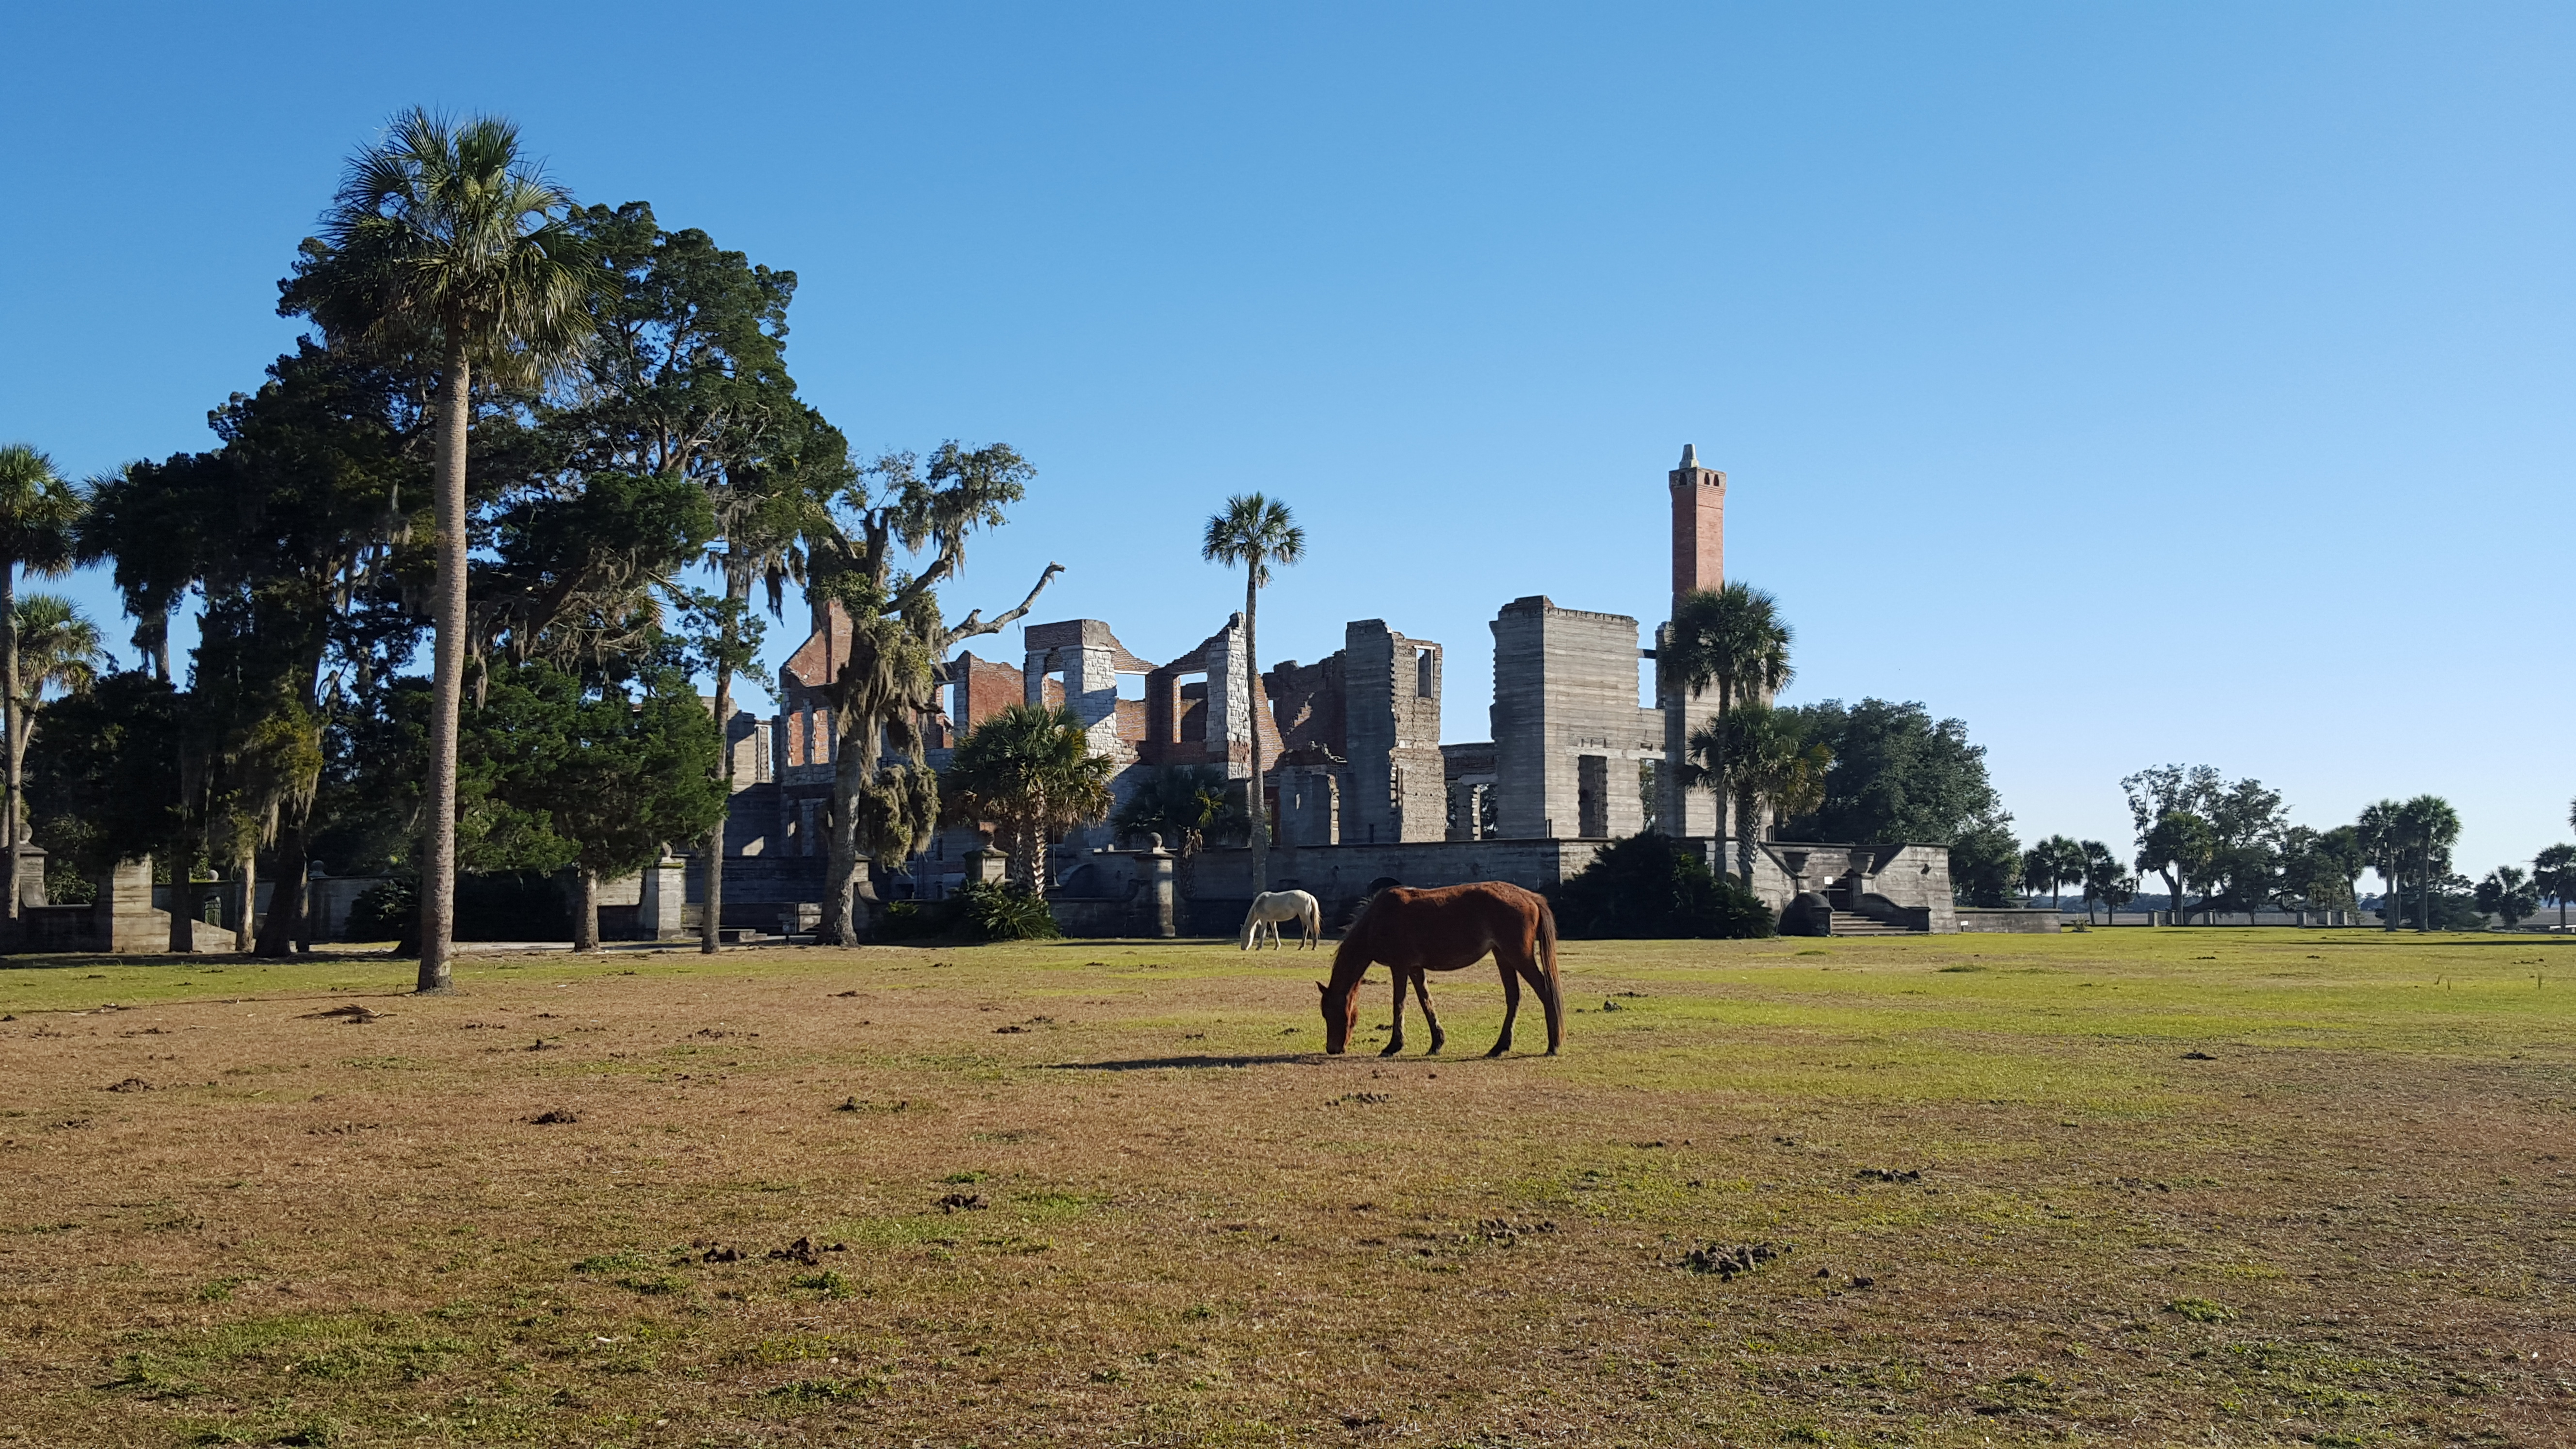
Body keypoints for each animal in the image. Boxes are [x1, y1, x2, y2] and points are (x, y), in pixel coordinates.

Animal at [1241, 882, 1319, 949]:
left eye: (1244, 936)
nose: (1243, 948)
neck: (1260, 903)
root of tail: (1309, 896)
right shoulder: (1272, 920)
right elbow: (1275, 932)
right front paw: (1277, 947)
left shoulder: (1264, 920)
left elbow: (1263, 932)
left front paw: (1259, 947)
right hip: (1302, 916)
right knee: (1306, 929)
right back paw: (1301, 947)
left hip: (1304, 915)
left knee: (1311, 928)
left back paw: (1314, 947)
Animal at [1319, 876, 1556, 1057]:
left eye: (1329, 1013)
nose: (1333, 1049)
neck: (1378, 919)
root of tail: (1530, 897)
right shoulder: (1414, 968)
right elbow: (1426, 1002)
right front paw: (1436, 1043)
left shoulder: (1400, 966)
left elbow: (1399, 1003)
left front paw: (1393, 1046)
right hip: (1503, 956)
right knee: (1514, 996)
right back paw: (1500, 1047)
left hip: (1518, 955)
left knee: (1545, 991)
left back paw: (1552, 1045)